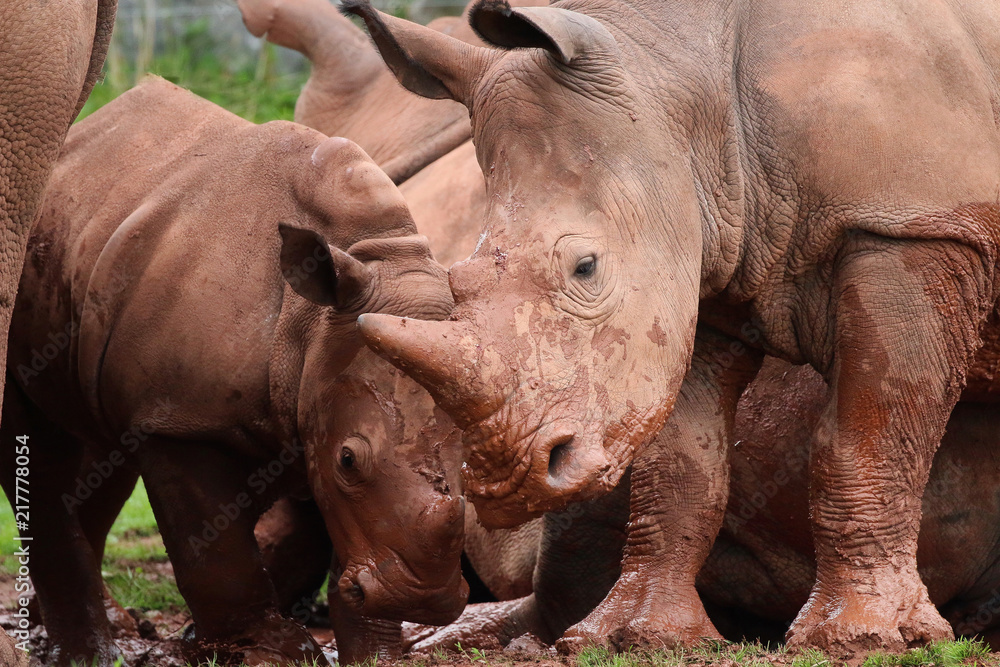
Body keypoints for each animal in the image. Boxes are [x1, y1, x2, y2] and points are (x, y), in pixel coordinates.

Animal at [0, 77, 467, 667]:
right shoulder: (179, 420)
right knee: (38, 447)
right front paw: (275, 650)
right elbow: (216, 555)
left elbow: (343, 535)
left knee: (101, 453)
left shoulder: (320, 391)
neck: (309, 321)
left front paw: (375, 655)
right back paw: (89, 654)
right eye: (348, 460)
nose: (424, 601)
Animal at [345, 0, 1000, 654]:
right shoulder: (705, 256)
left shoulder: (910, 226)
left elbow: (868, 440)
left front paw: (858, 637)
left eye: (586, 267)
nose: (507, 488)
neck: (686, 80)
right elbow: (682, 465)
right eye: (457, 283)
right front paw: (635, 634)